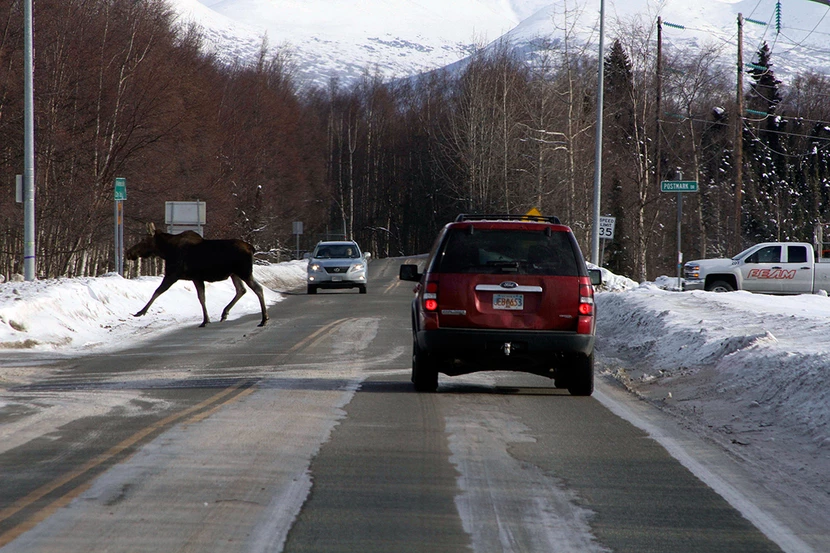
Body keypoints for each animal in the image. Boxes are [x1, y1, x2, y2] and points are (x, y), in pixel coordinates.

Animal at [125, 223, 268, 328]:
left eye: (143, 239)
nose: (128, 252)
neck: (166, 251)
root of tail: (252, 248)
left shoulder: (172, 275)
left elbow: (157, 291)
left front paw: (140, 312)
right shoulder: (196, 278)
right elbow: (201, 298)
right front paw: (205, 320)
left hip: (244, 272)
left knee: (258, 288)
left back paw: (264, 319)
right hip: (235, 274)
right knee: (241, 289)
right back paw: (225, 313)